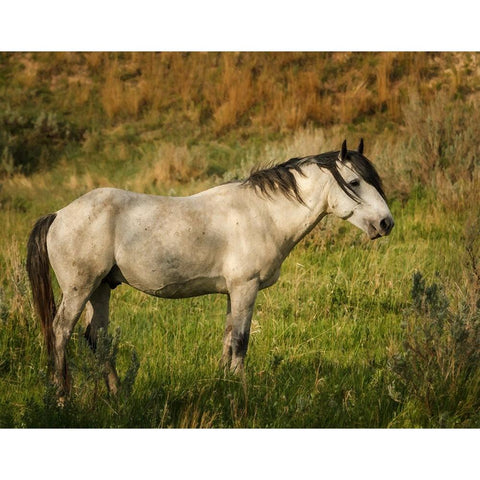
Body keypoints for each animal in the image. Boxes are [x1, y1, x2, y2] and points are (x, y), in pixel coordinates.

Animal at [25, 139, 394, 398]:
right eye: (355, 182)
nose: (386, 223)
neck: (262, 214)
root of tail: (58, 214)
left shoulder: (234, 291)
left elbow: (228, 339)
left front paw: (223, 386)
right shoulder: (245, 287)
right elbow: (242, 341)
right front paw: (241, 393)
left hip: (101, 289)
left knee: (97, 337)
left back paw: (117, 395)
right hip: (80, 289)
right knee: (61, 332)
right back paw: (63, 397)